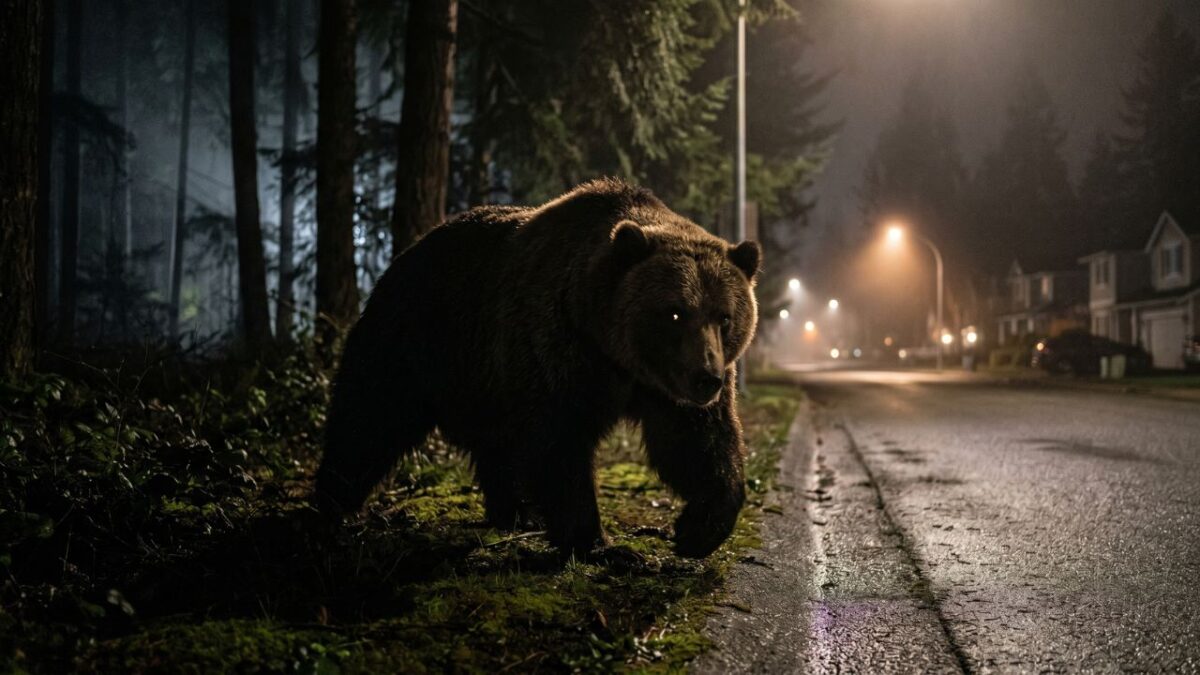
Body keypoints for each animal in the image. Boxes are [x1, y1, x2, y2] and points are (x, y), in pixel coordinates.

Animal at [314, 178, 760, 559]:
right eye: (674, 313)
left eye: (724, 317)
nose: (707, 379)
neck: (613, 349)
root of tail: (407, 253)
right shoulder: (560, 350)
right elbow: (560, 445)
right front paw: (596, 542)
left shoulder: (663, 387)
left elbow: (696, 443)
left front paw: (698, 529)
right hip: (416, 338)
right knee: (368, 421)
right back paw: (331, 512)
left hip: (483, 377)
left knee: (495, 444)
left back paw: (515, 512)